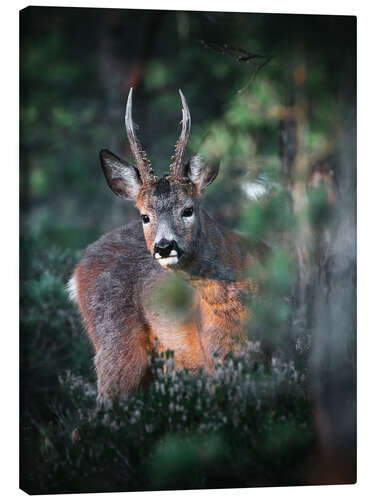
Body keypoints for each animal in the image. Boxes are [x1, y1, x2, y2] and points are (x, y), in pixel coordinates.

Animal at [68, 88, 268, 400]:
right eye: (145, 216)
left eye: (188, 209)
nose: (164, 246)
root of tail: (78, 269)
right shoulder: (216, 358)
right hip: (116, 345)